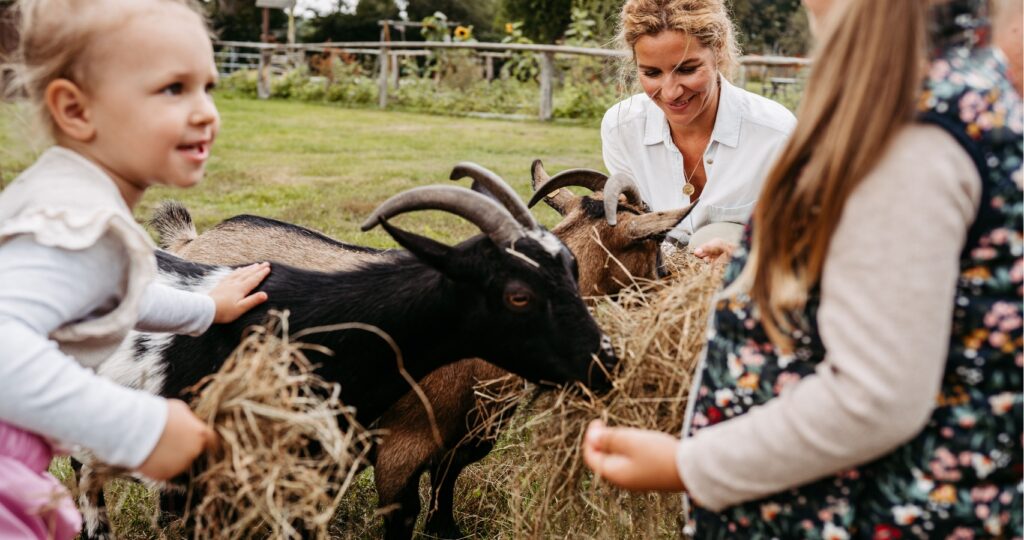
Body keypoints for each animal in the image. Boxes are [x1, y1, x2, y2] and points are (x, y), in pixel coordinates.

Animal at [151, 161, 692, 540]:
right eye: (655, 242)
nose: (669, 279)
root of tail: (190, 243)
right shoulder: (401, 446)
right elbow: (401, 512)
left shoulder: (464, 436)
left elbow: (447, 481)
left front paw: (447, 530)